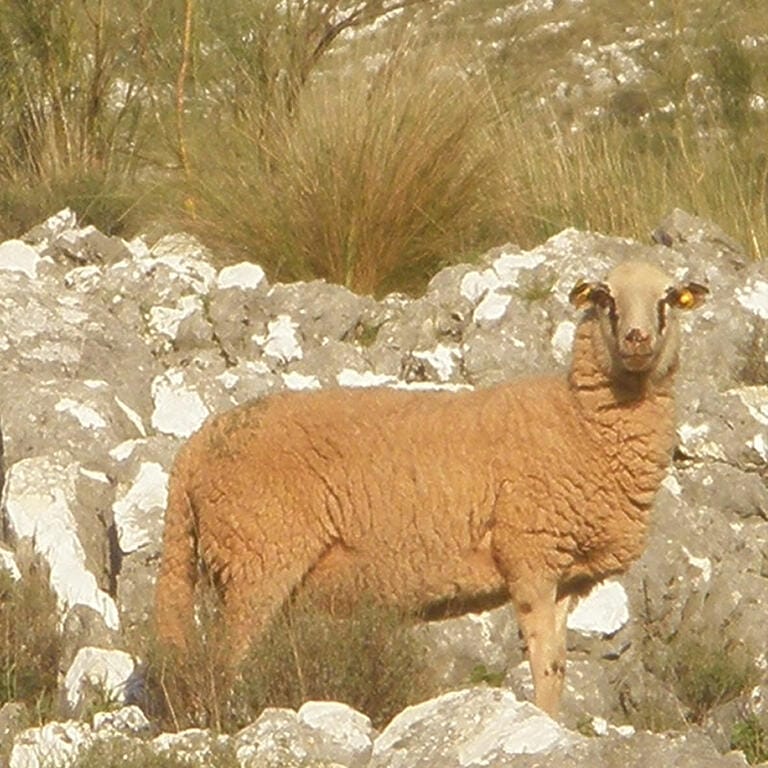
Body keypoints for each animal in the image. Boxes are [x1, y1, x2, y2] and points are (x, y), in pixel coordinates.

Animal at [153, 259, 707, 717]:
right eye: (606, 299)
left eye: (667, 299)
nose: (636, 339)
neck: (578, 422)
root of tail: (193, 450)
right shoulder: (528, 555)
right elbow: (542, 665)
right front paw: (547, 725)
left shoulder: (568, 575)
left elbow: (558, 666)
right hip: (258, 556)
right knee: (224, 660)